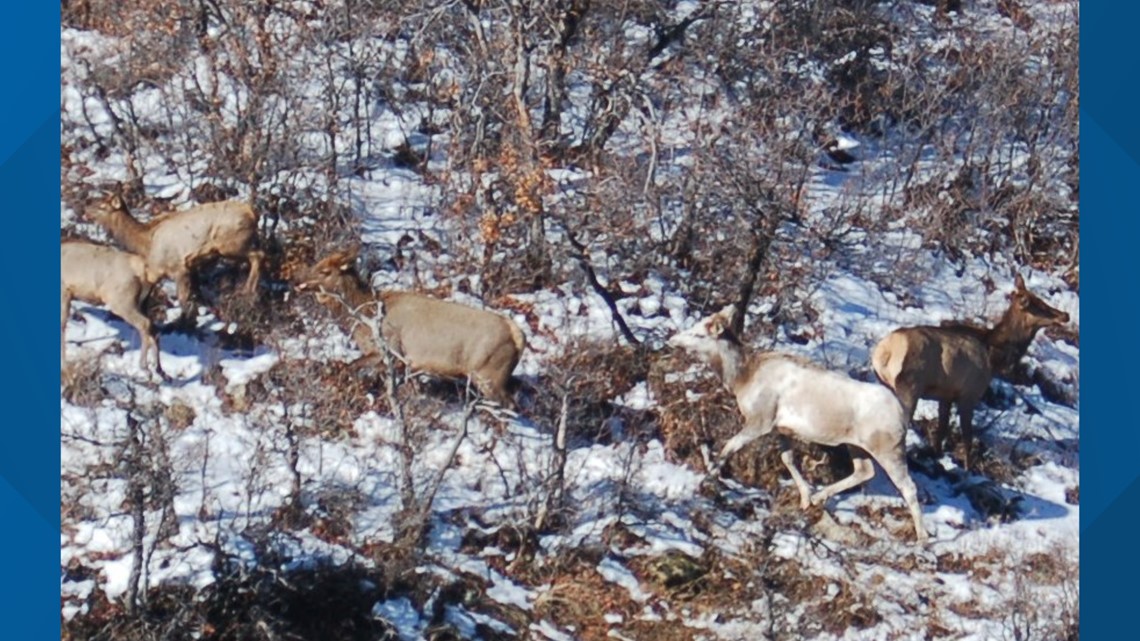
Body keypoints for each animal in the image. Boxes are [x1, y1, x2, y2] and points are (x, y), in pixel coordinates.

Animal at [86, 193, 262, 323]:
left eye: (102, 206)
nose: (85, 209)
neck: (144, 243)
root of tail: (253, 213)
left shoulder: (179, 268)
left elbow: (183, 300)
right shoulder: (179, 270)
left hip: (230, 243)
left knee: (258, 255)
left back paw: (248, 291)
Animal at [294, 249, 524, 403]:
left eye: (324, 271)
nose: (297, 280)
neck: (363, 317)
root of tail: (518, 337)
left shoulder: (390, 350)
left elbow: (351, 366)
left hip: (488, 375)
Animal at [665, 303, 925, 538]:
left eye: (699, 333)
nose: (672, 339)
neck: (741, 380)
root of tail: (902, 414)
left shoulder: (761, 419)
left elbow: (729, 446)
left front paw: (706, 479)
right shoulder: (781, 429)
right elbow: (787, 458)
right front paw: (806, 497)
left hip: (889, 448)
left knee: (908, 486)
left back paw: (922, 537)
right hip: (856, 445)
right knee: (865, 471)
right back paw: (820, 496)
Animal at [870, 271, 1067, 467]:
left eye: (1040, 300)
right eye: (1039, 305)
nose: (1065, 315)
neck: (994, 358)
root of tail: (884, 351)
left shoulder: (946, 394)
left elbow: (942, 428)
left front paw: (937, 455)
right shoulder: (969, 394)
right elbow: (967, 437)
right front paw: (968, 467)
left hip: (886, 384)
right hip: (910, 386)